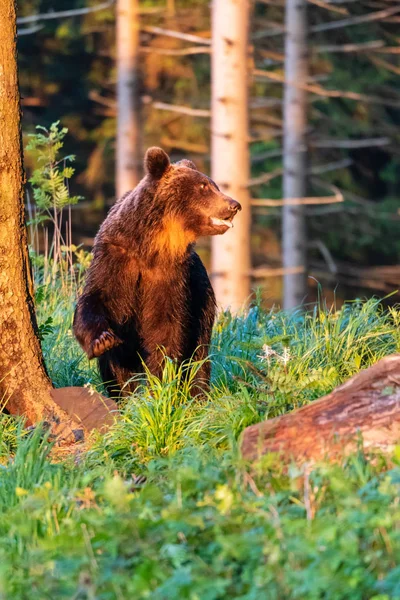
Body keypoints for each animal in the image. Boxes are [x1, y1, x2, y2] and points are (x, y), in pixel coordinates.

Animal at [72, 147, 241, 396]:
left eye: (214, 185)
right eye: (204, 186)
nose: (234, 205)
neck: (152, 247)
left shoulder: (172, 276)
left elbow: (166, 328)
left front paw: (162, 378)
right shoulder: (114, 261)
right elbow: (95, 302)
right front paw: (102, 340)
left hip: (202, 301)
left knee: (199, 355)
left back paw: (198, 393)